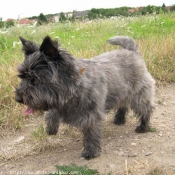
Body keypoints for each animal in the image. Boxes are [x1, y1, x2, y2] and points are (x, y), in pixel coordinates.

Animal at [15, 35, 154, 160]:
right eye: (23, 77)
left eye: (35, 79)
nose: (18, 98)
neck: (75, 87)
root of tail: (131, 50)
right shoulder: (57, 102)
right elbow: (51, 113)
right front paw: (51, 128)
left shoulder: (91, 115)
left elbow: (90, 133)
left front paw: (90, 151)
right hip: (121, 91)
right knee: (123, 104)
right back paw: (119, 118)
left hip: (139, 95)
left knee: (146, 109)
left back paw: (143, 126)